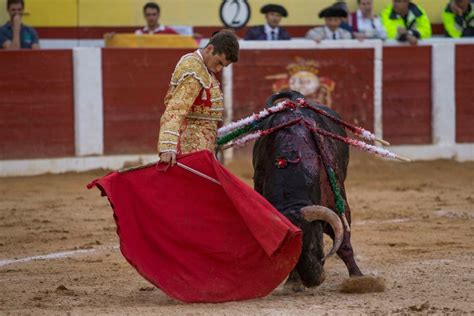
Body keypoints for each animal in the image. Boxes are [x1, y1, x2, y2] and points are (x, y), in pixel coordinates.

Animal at [254, 90, 362, 290]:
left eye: (315, 240)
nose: (314, 280)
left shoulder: (338, 203)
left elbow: (344, 243)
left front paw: (358, 278)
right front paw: (293, 282)